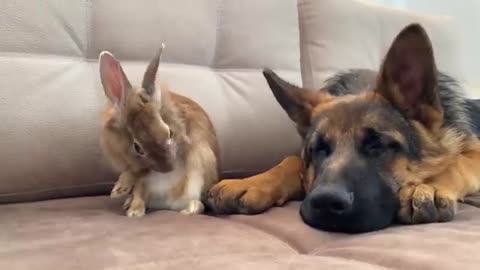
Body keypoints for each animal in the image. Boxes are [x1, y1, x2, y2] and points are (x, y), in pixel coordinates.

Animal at [98, 44, 218, 217]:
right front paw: (120, 190)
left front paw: (120, 189)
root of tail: (167, 203)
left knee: (197, 202)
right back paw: (134, 208)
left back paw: (188, 210)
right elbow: (136, 175)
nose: (169, 168)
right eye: (137, 147)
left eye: (169, 133)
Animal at [208, 24, 480, 233]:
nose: (326, 203)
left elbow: (458, 162)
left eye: (377, 145)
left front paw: (429, 186)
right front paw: (252, 181)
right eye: (318, 149)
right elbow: (292, 160)